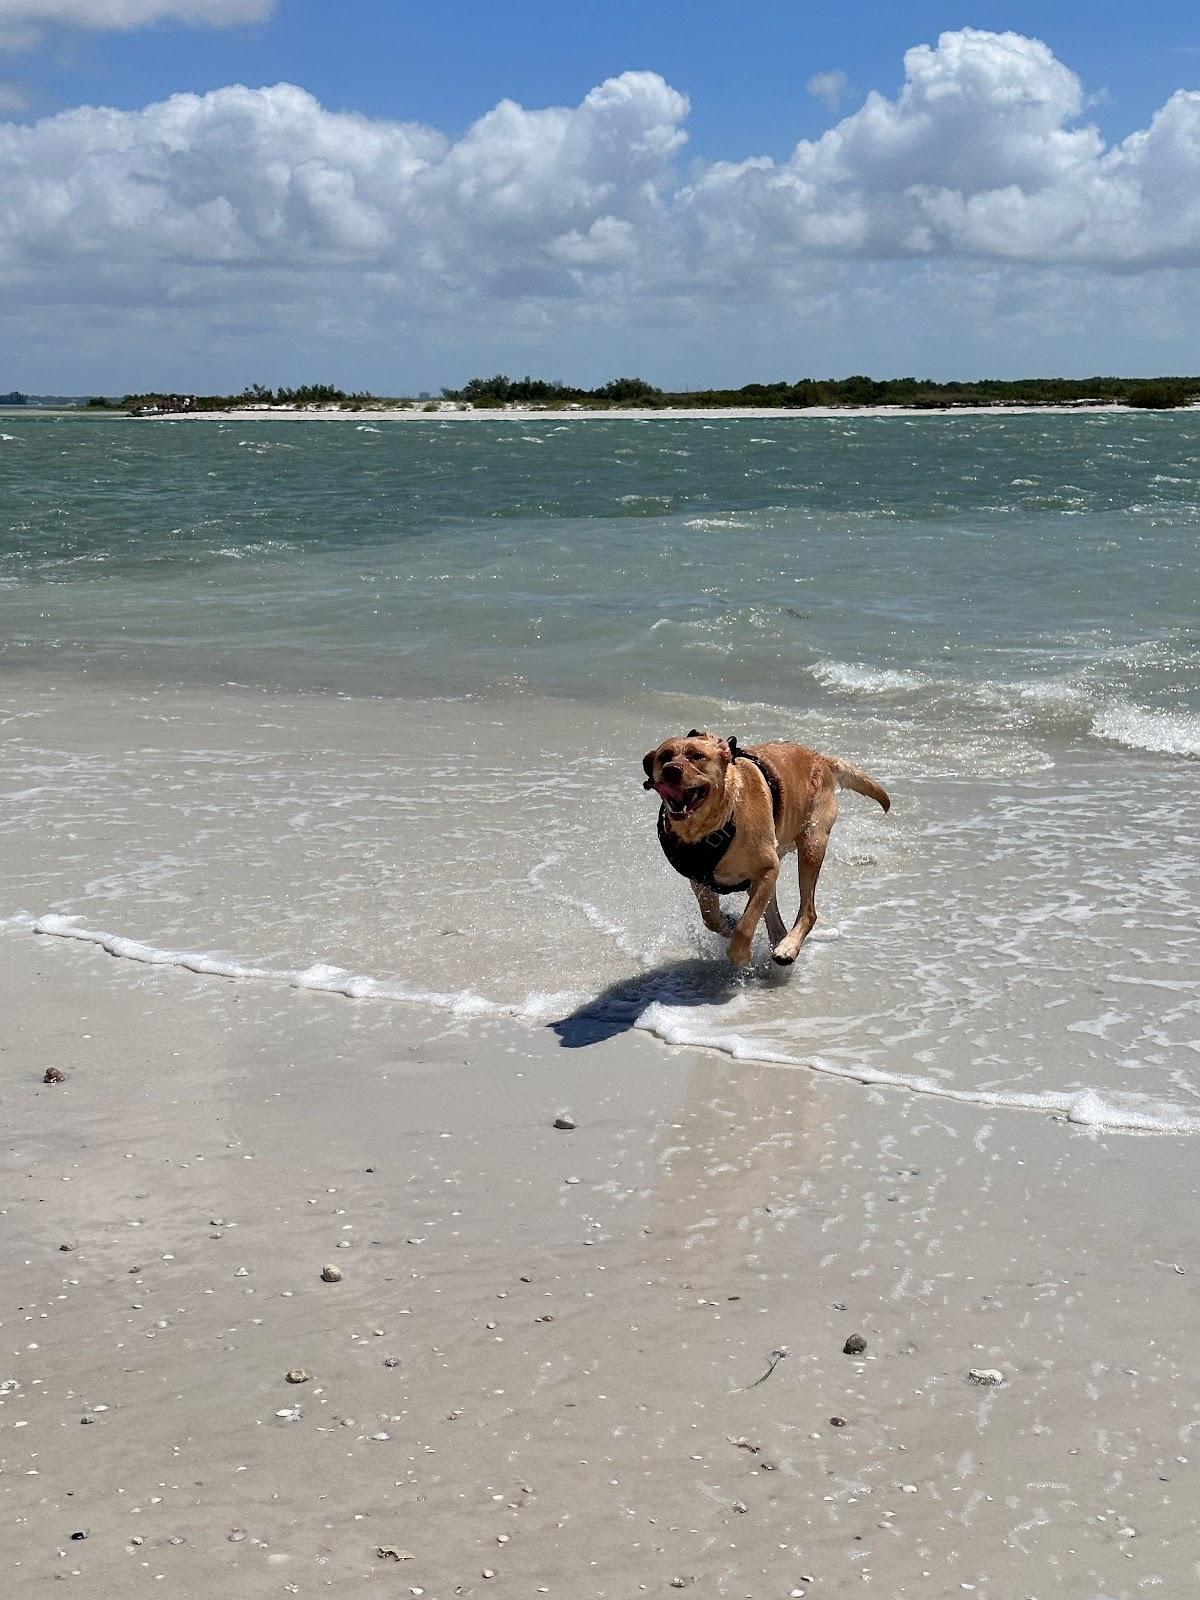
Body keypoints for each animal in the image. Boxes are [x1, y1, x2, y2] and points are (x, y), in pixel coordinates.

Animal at [649, 732, 896, 966]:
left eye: (696, 756)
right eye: (665, 757)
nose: (671, 770)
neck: (713, 825)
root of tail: (819, 757)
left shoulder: (767, 870)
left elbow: (745, 926)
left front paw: (741, 955)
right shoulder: (701, 880)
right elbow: (711, 919)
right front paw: (728, 923)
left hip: (811, 845)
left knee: (808, 911)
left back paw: (788, 947)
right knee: (775, 920)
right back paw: (779, 941)